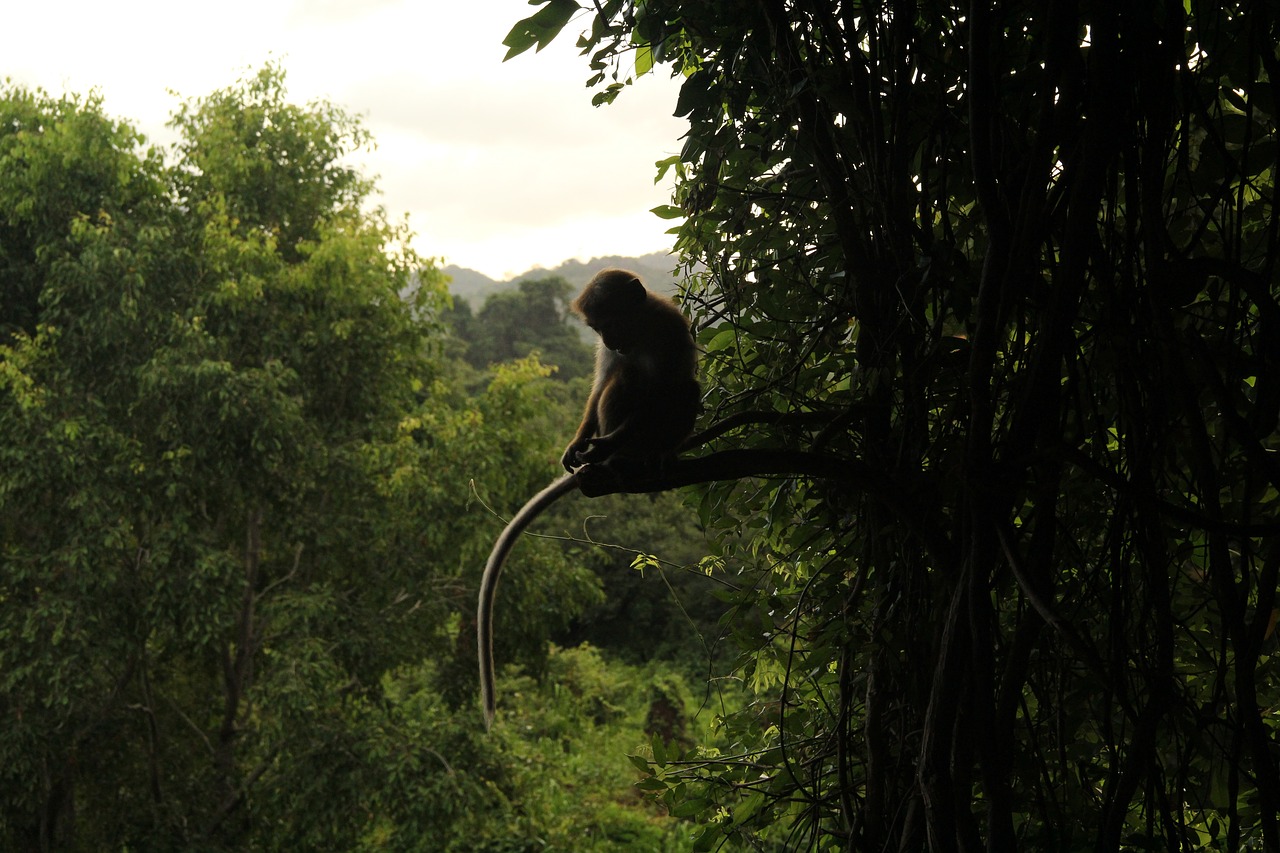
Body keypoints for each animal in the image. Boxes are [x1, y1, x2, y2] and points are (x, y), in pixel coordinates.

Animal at [481, 267, 701, 722]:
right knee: (624, 375)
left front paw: (606, 445)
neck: (640, 327)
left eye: (611, 321)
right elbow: (601, 382)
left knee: (681, 390)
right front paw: (578, 444)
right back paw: (609, 460)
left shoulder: (670, 329)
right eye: (598, 329)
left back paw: (636, 454)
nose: (611, 340)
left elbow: (666, 388)